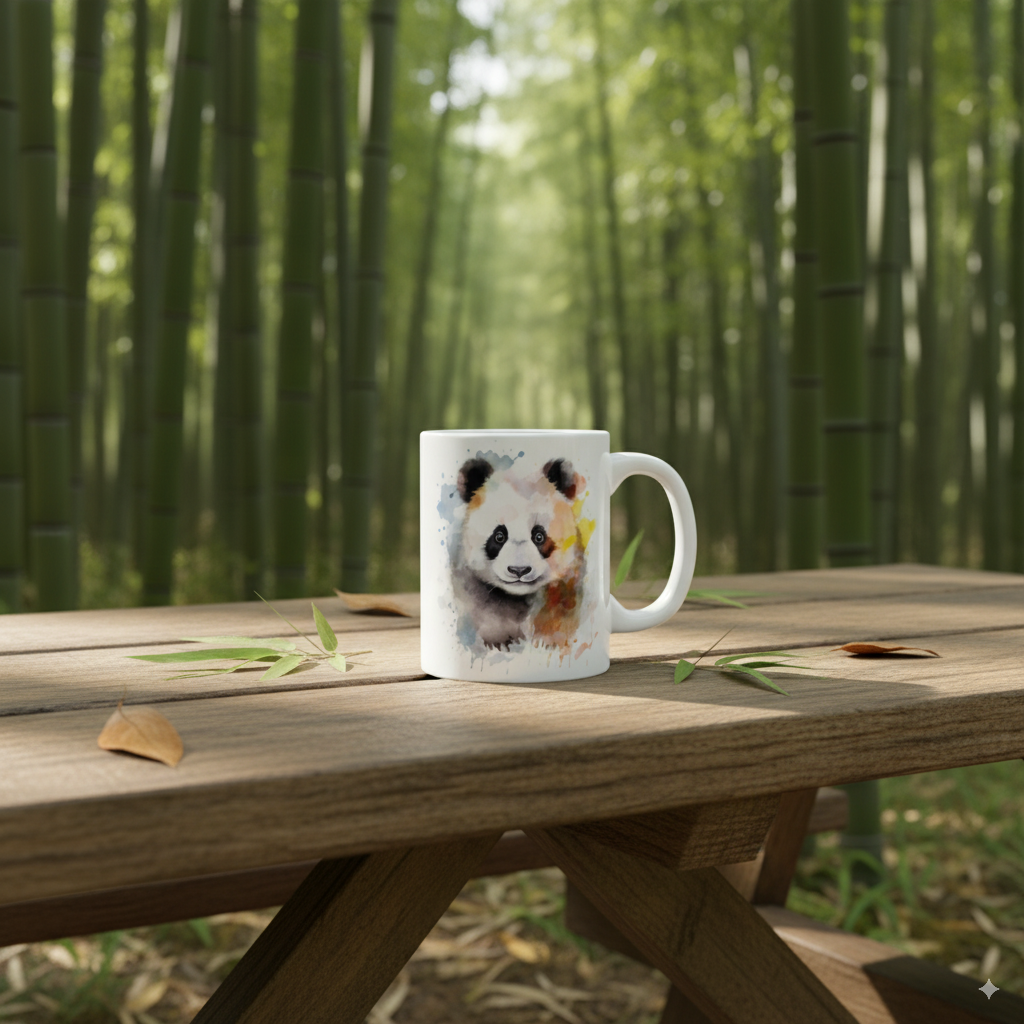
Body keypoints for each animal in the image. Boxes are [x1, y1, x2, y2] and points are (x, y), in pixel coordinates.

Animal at [452, 456, 586, 652]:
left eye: (539, 536)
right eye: (499, 536)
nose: (519, 570)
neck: (519, 595)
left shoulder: (568, 579)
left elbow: (563, 606)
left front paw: (549, 640)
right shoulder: (471, 581)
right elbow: (485, 609)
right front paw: (501, 640)